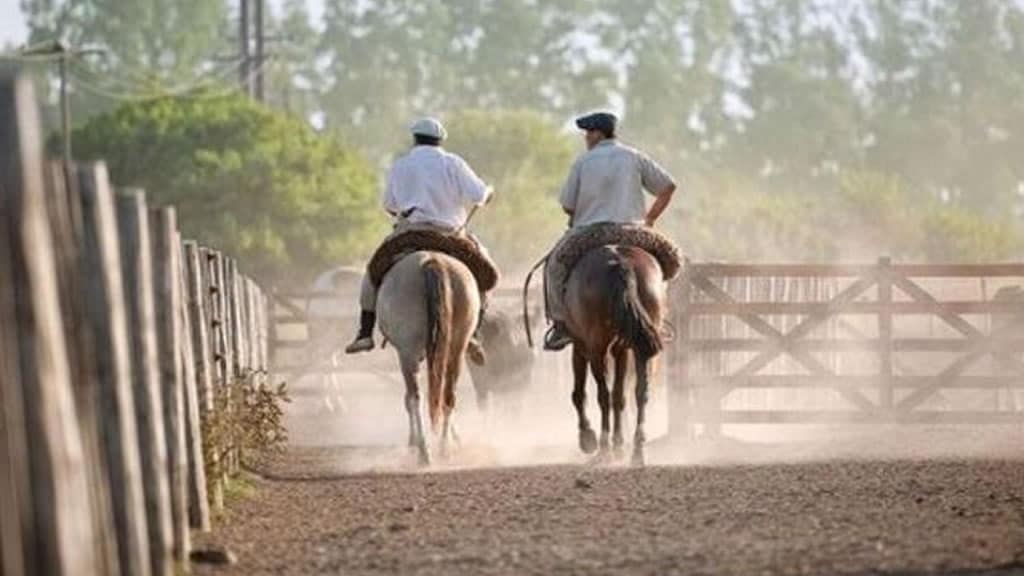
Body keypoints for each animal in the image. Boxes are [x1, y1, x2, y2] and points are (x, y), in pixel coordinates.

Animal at [565, 243, 667, 463]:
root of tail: (622, 264)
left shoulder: (580, 345)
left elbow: (580, 393)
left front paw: (587, 437)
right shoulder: (622, 349)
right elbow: (619, 395)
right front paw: (619, 444)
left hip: (597, 347)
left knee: (603, 395)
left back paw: (603, 447)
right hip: (641, 346)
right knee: (640, 392)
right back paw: (637, 450)